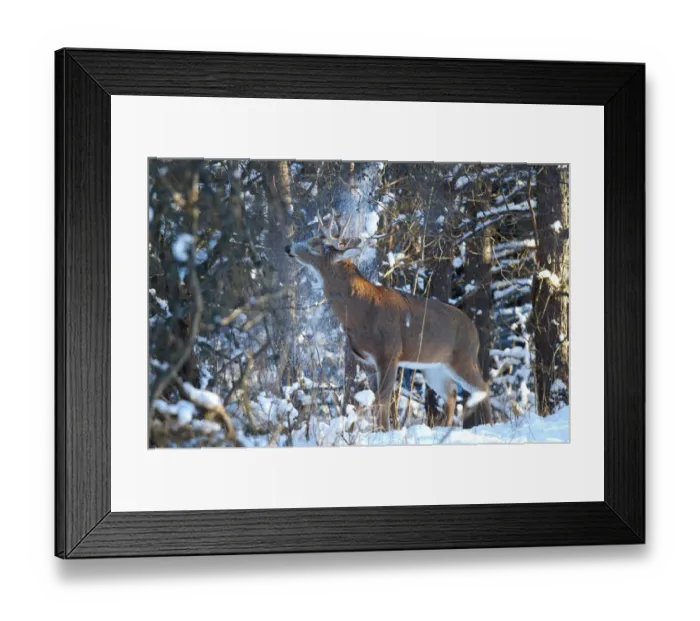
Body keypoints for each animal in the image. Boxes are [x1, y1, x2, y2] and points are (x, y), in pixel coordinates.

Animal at [284, 211, 493, 432]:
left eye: (314, 246)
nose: (288, 247)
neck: (359, 310)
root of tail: (474, 329)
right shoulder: (368, 360)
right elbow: (375, 399)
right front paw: (377, 430)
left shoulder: (389, 352)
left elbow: (383, 398)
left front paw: (384, 430)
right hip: (434, 367)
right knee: (452, 393)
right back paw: (445, 428)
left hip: (463, 357)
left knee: (483, 387)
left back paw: (488, 423)